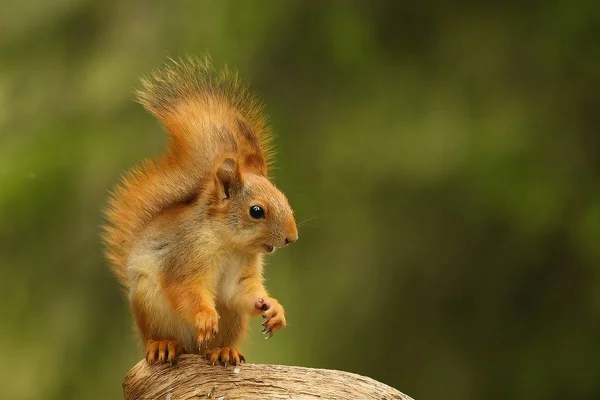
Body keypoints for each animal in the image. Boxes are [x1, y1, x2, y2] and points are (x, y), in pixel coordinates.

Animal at [105, 56, 300, 366]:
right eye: (256, 211)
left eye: (283, 197)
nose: (291, 238)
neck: (228, 243)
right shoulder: (184, 257)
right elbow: (185, 289)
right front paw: (205, 316)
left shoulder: (242, 273)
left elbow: (242, 291)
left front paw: (273, 308)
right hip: (149, 304)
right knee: (163, 337)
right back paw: (163, 345)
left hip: (233, 320)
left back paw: (223, 350)